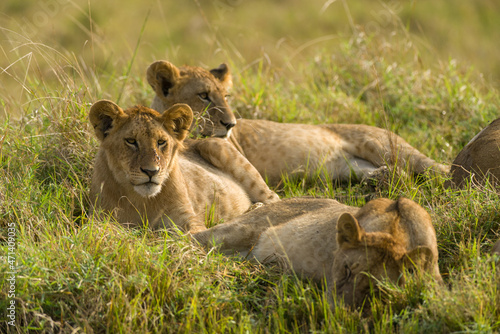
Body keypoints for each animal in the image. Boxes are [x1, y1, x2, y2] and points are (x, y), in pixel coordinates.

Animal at [88, 100, 280, 234]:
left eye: (161, 142)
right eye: (131, 141)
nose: (151, 171)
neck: (141, 200)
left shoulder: (188, 218)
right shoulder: (98, 217)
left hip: (215, 145)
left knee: (273, 199)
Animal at [146, 59, 448, 185]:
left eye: (226, 96)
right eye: (204, 96)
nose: (231, 124)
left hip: (384, 146)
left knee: (435, 170)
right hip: (352, 167)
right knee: (393, 173)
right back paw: (381, 180)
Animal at [194, 197, 442, 310]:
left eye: (376, 288)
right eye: (345, 269)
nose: (335, 311)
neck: (396, 231)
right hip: (237, 230)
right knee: (192, 237)